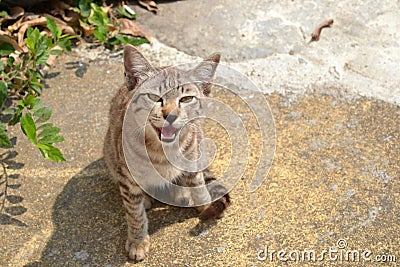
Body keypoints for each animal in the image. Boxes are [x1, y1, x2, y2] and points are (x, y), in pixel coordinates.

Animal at [103, 45, 231, 260]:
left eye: (186, 99)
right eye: (154, 97)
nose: (170, 115)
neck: (163, 152)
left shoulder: (193, 157)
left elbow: (198, 185)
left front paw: (205, 204)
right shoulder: (126, 176)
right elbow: (135, 213)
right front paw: (138, 240)